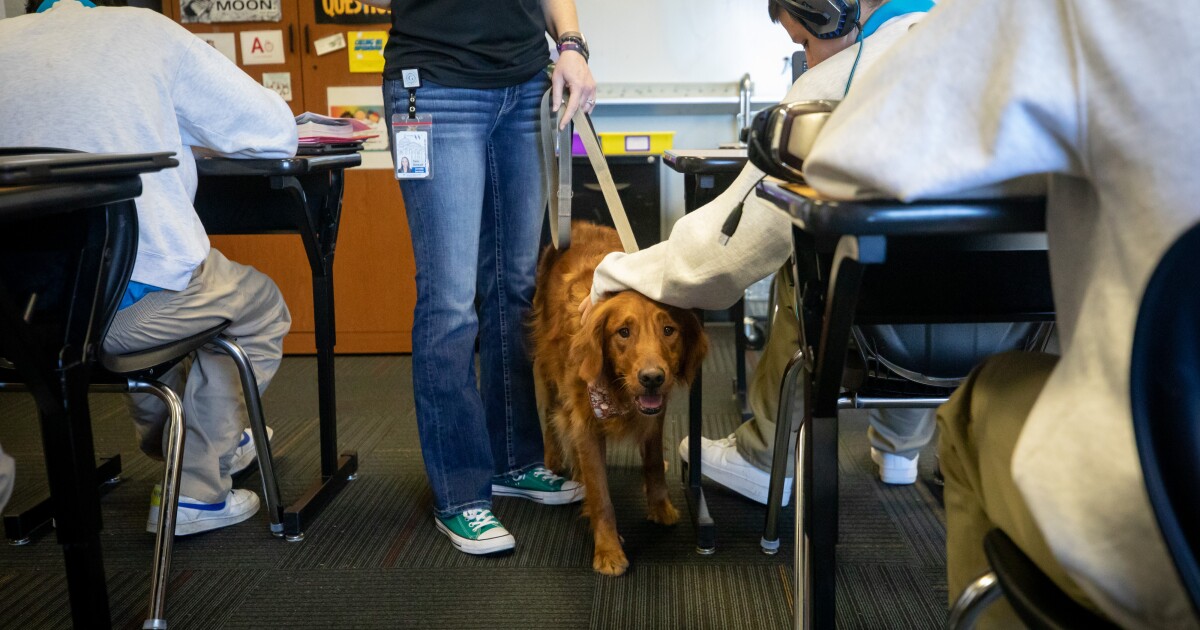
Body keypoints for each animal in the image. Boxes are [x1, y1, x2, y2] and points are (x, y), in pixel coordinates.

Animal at [530, 219, 705, 573]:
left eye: (669, 330)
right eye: (623, 332)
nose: (652, 378)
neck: (617, 392)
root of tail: (577, 224)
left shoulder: (655, 416)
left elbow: (652, 463)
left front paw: (661, 508)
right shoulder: (585, 424)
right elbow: (601, 494)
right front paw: (609, 551)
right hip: (546, 372)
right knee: (551, 423)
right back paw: (554, 465)